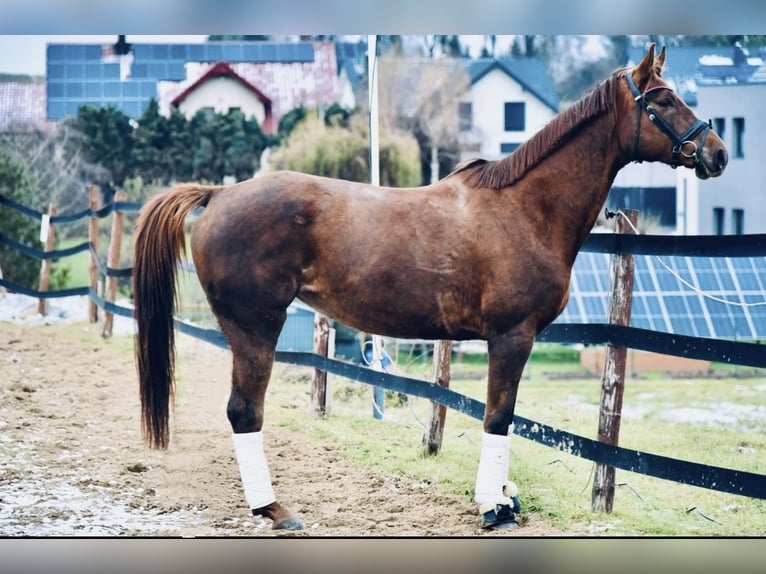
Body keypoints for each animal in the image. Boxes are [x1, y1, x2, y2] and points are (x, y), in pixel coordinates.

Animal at [132, 44, 727, 532]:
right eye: (665, 99)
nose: (717, 152)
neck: (525, 209)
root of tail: (219, 194)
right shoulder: (512, 337)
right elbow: (499, 417)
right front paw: (494, 507)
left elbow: (503, 416)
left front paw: (505, 498)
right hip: (256, 328)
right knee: (244, 412)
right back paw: (274, 510)